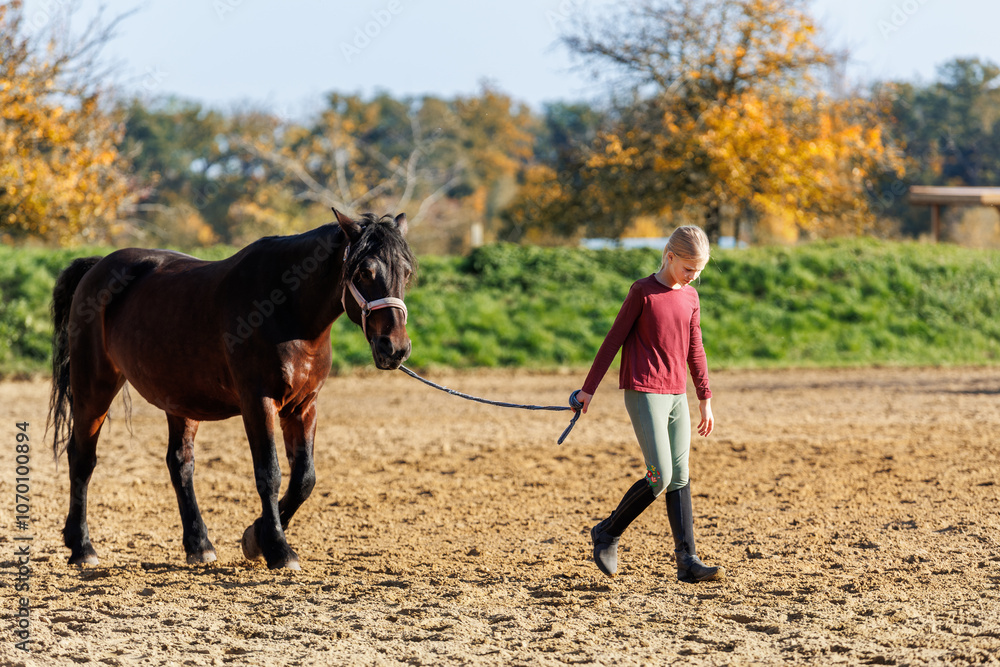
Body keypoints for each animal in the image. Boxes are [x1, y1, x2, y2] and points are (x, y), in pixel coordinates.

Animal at [47, 209, 414, 569]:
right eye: (364, 271)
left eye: (407, 272)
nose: (394, 348)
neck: (287, 311)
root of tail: (97, 267)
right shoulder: (259, 402)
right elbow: (269, 473)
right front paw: (278, 548)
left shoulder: (304, 406)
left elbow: (304, 479)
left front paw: (256, 537)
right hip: (94, 386)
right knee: (82, 458)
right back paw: (82, 548)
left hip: (181, 400)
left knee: (180, 463)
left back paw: (199, 545)